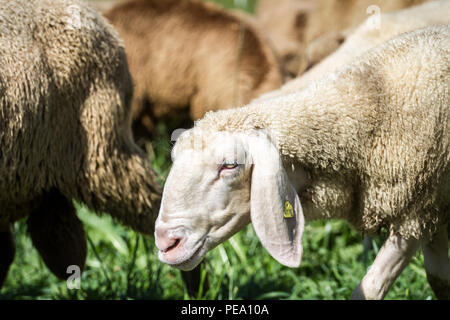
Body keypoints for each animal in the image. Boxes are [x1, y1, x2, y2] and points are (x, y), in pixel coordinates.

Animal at [154, 25, 450, 300]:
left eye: (230, 165)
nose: (166, 243)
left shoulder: (417, 212)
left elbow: (372, 287)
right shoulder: (434, 210)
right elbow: (440, 280)